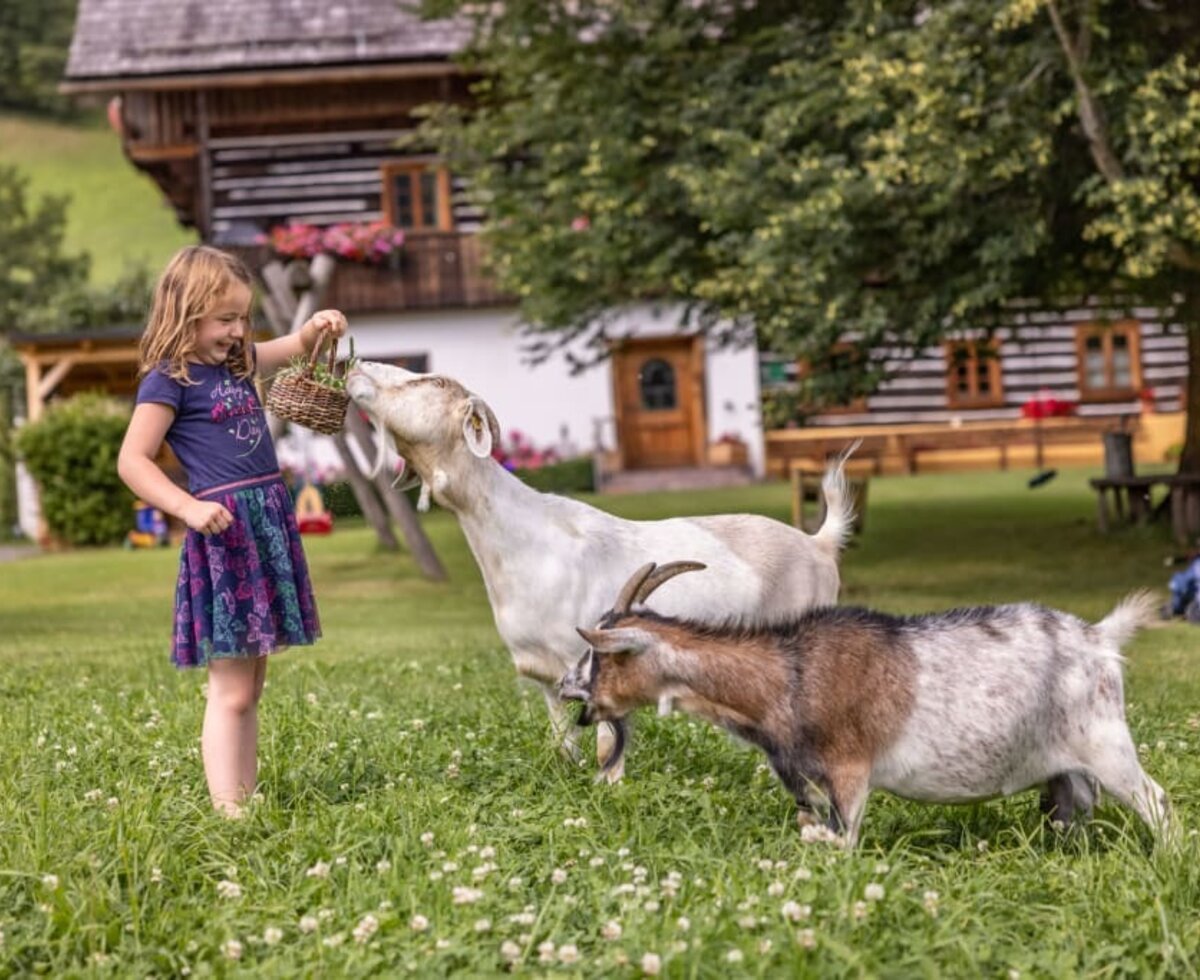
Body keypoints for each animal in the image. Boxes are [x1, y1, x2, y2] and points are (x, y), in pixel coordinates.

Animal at [348, 359, 854, 782]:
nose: (356, 366)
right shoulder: (547, 676)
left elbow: (606, 746)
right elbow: (563, 745)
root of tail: (818, 544)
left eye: (433, 381)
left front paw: (611, 790)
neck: (520, 535)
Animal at [561, 561, 1171, 844]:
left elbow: (844, 840)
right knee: (1074, 812)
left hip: (1106, 743)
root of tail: (1100, 637)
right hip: (1065, 773)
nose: (572, 689)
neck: (787, 674)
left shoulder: (850, 772)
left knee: (1156, 801)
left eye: (601, 656)